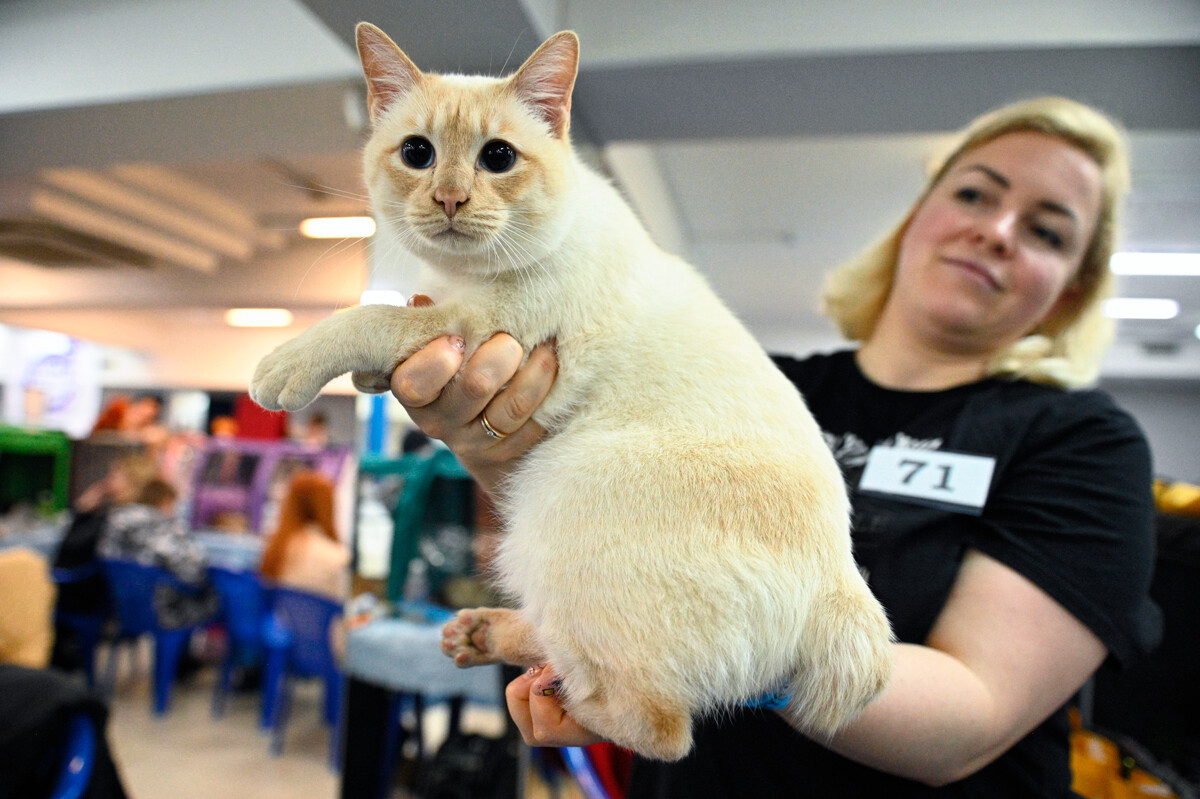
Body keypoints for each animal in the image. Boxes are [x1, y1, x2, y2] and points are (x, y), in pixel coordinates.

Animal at [253, 23, 892, 758]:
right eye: (418, 153)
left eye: (498, 157)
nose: (449, 199)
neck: (465, 275)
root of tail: (842, 584)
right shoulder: (445, 314)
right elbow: (389, 322)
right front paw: (368, 378)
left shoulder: (472, 323)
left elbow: (372, 318)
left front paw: (282, 368)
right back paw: (483, 635)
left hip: (554, 499)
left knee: (660, 724)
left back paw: (558, 696)